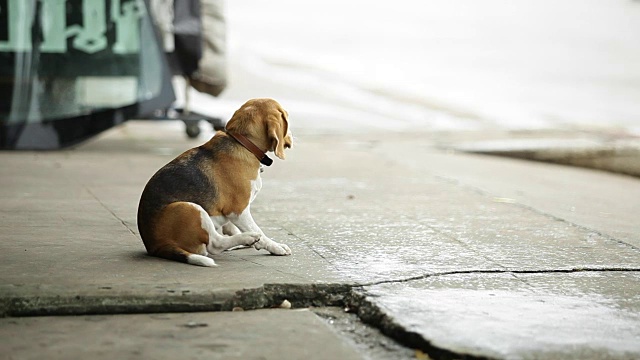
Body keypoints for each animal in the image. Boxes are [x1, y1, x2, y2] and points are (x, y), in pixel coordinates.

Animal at [139, 98, 294, 268]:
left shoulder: (230, 214)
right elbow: (258, 230)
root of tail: (155, 246)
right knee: (215, 244)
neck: (243, 144)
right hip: (189, 208)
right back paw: (248, 238)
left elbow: (230, 227)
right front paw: (275, 247)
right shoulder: (238, 210)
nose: (291, 136)